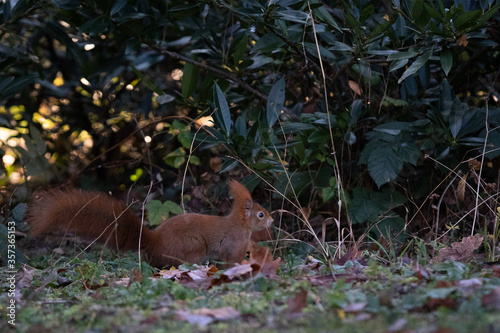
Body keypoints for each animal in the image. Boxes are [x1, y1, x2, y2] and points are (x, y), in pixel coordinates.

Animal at [26, 180, 274, 266]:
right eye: (260, 214)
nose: (272, 220)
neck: (240, 224)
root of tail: (154, 242)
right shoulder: (234, 244)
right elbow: (233, 260)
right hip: (192, 246)